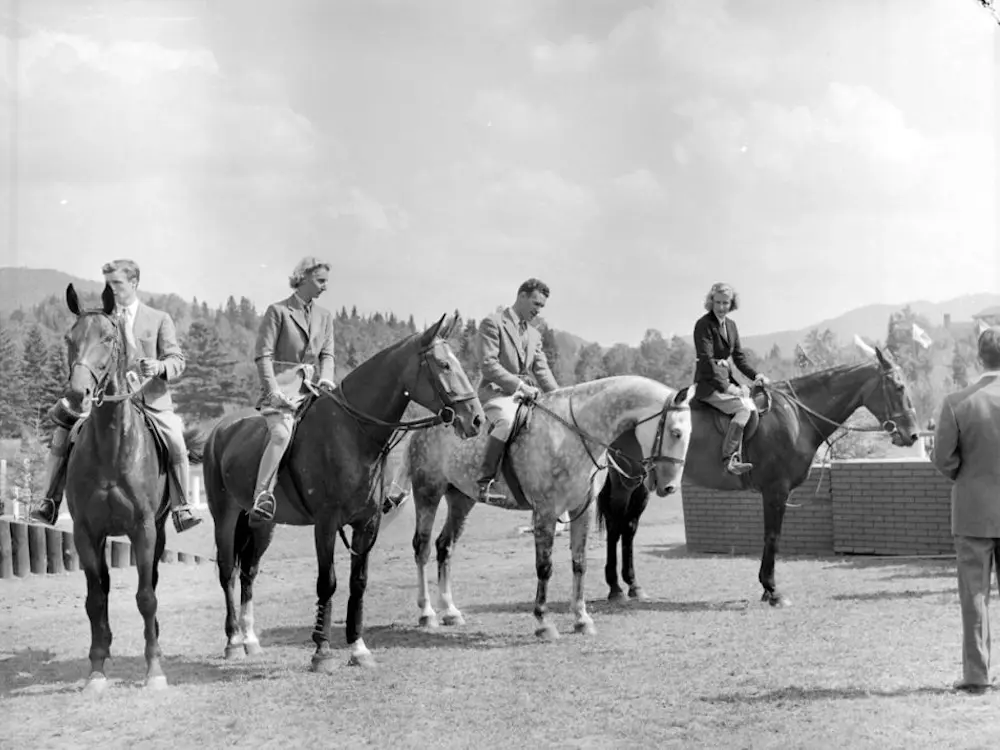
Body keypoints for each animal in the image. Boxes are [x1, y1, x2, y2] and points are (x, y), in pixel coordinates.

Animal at [59, 283, 207, 693]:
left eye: (108, 338)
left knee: (150, 582)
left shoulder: (142, 529)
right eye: (69, 339)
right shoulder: (86, 532)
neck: (112, 446)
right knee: (104, 588)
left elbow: (146, 597)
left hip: (157, 531)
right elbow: (95, 599)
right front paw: (96, 670)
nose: (77, 395)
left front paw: (154, 669)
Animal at [197, 313, 484, 670]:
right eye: (444, 365)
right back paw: (234, 641)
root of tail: (220, 430)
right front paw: (321, 650)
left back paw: (250, 639)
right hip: (224, 516)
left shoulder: (366, 524)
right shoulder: (326, 524)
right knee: (228, 572)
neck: (352, 432)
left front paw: (358, 648)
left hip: (262, 523)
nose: (476, 419)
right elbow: (328, 582)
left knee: (249, 572)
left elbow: (357, 582)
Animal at [401, 375, 695, 639]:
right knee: (422, 548)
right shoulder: (546, 511)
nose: (670, 487)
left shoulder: (583, 509)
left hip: (461, 499)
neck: (575, 434)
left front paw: (581, 618)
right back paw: (427, 613)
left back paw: (451, 611)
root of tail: (433, 420)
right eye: (676, 433)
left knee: (445, 546)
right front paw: (543, 622)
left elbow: (580, 563)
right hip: (428, 493)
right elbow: (545, 566)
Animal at [597, 348, 920, 607]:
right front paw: (772, 590)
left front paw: (767, 588)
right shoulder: (776, 491)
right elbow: (772, 537)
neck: (796, 416)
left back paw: (633, 585)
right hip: (626, 480)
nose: (913, 434)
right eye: (898, 386)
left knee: (629, 526)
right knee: (615, 524)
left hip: (642, 482)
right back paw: (614, 587)